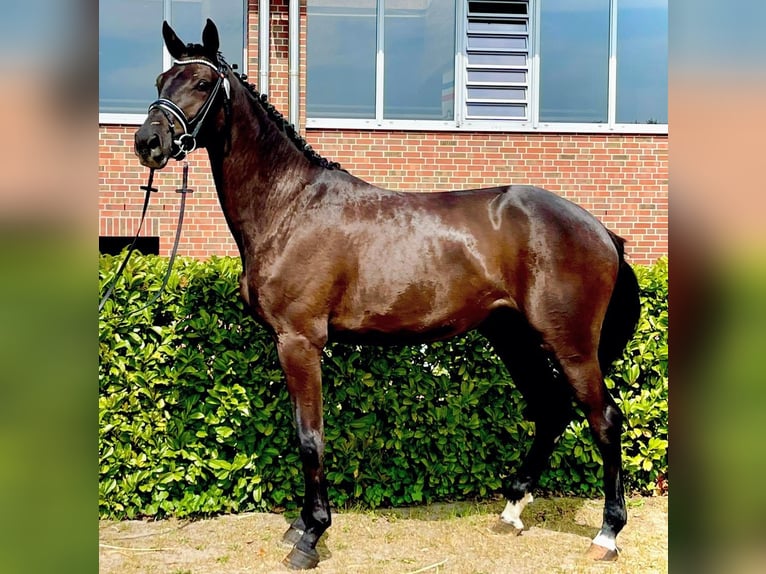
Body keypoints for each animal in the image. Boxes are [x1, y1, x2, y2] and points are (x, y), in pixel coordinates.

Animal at [134, 19, 641, 570]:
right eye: (160, 80)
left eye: (203, 83)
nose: (148, 141)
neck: (290, 205)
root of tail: (601, 231)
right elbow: (303, 434)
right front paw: (301, 525)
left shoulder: (300, 342)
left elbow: (309, 437)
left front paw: (311, 535)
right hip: (513, 336)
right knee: (551, 410)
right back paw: (512, 508)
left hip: (570, 344)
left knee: (604, 419)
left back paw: (608, 533)